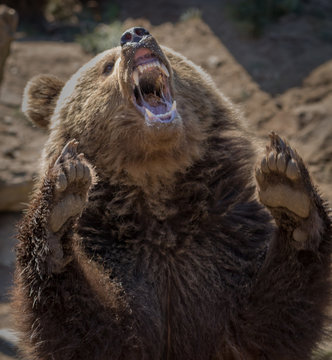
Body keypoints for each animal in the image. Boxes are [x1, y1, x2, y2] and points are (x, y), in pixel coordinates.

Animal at [14, 26, 330, 358]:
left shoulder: (228, 245)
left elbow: (270, 323)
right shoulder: (112, 253)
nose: (134, 34)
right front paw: (59, 206)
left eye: (169, 52)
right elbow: (90, 332)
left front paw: (289, 190)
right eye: (107, 66)